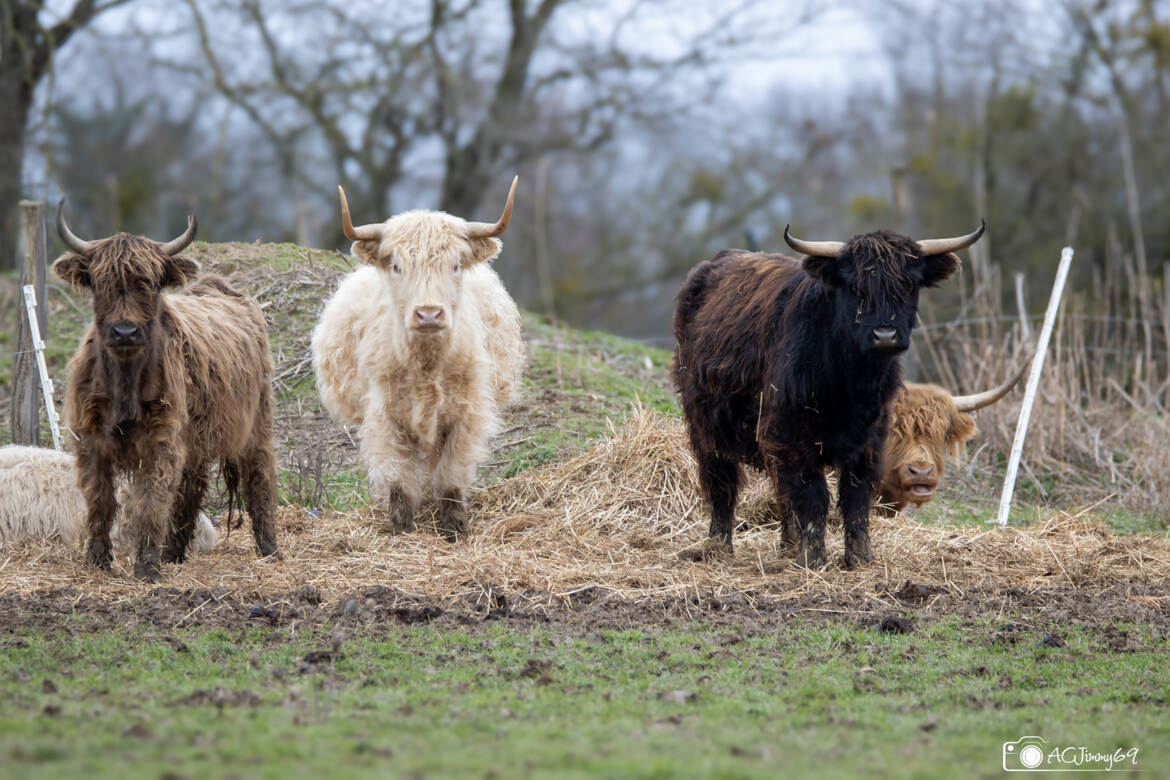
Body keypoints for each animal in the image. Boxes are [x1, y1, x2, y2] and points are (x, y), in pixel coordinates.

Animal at [54, 199, 278, 580]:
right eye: (101, 282)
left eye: (151, 283)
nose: (125, 331)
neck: (125, 381)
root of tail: (221, 288)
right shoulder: (90, 442)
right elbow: (100, 502)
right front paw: (98, 561)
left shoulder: (160, 442)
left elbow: (150, 502)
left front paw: (146, 566)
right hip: (195, 441)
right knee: (191, 489)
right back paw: (174, 553)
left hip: (256, 425)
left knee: (259, 478)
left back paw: (269, 550)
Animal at [673, 219, 982, 568]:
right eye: (854, 287)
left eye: (909, 285)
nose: (884, 335)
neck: (851, 384)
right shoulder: (794, 435)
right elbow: (813, 495)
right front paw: (814, 557)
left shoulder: (870, 440)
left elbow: (856, 497)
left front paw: (860, 557)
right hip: (706, 423)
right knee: (721, 482)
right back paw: (719, 547)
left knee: (779, 489)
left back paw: (787, 547)